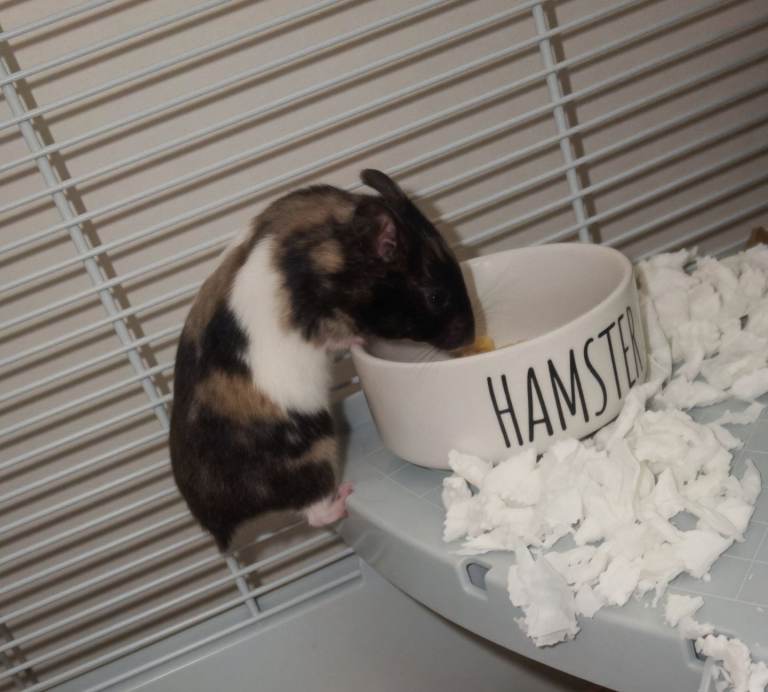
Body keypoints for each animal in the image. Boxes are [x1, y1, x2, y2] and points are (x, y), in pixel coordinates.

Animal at [169, 169, 475, 551]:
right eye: (436, 296)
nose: (472, 338)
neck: (339, 247)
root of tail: (215, 521)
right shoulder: (322, 322)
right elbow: (341, 335)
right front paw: (361, 339)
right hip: (313, 451)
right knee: (314, 513)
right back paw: (343, 496)